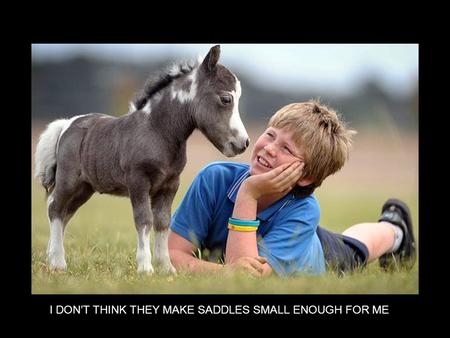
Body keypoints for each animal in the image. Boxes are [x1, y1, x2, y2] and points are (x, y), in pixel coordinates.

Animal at [34, 45, 250, 274]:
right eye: (226, 99)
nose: (243, 143)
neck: (157, 131)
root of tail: (67, 125)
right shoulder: (138, 181)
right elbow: (144, 220)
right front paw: (145, 267)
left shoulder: (170, 185)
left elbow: (163, 222)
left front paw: (167, 268)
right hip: (69, 181)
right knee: (55, 208)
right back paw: (58, 263)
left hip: (85, 188)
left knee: (65, 213)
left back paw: (51, 258)